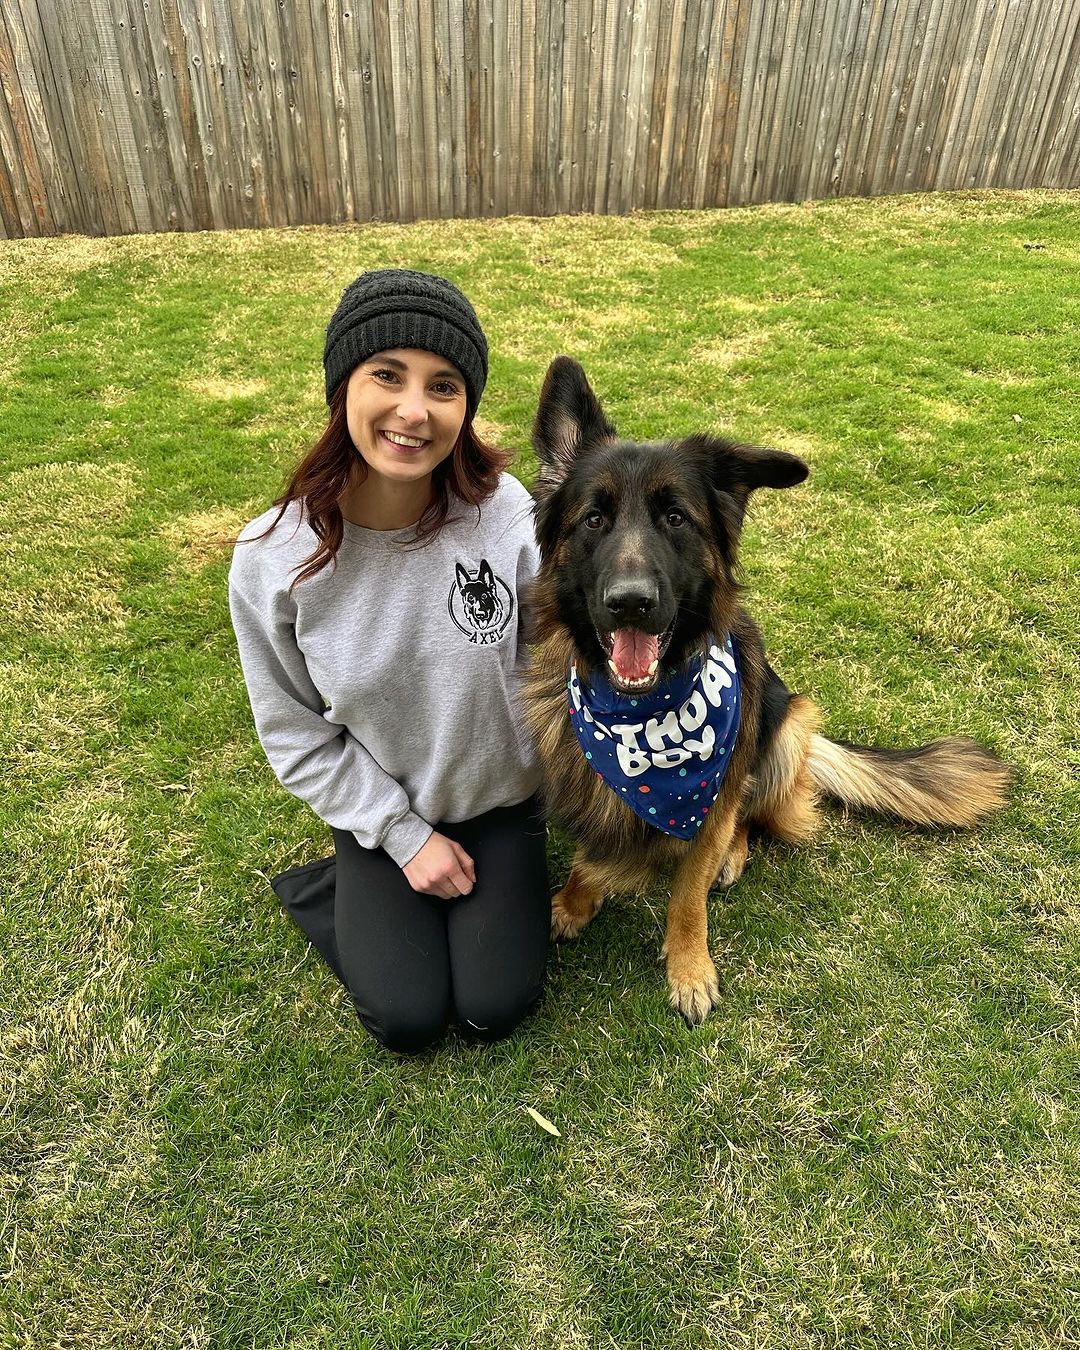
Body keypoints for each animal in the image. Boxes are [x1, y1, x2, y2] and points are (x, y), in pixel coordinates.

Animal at [523, 359, 1015, 1020]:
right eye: (593, 518)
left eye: (675, 518)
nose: (631, 602)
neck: (641, 719)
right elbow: (588, 856)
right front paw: (574, 903)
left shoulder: (717, 792)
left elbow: (687, 896)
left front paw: (689, 967)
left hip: (784, 728)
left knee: (749, 818)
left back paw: (732, 856)